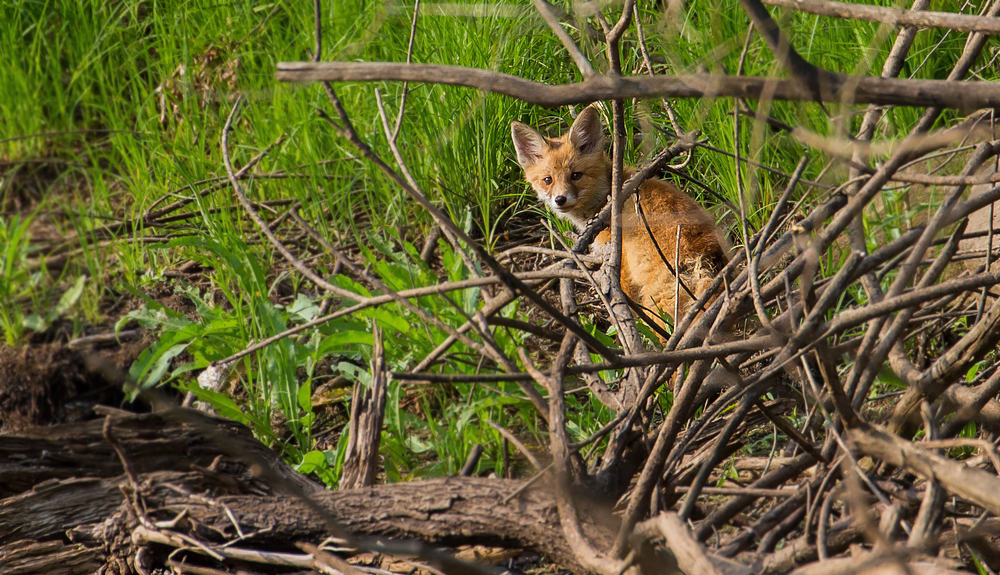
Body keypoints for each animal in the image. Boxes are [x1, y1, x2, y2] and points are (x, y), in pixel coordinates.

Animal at [512, 106, 732, 336]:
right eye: (548, 180)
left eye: (576, 175)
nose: (560, 200)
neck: (605, 199)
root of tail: (706, 257)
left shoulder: (619, 264)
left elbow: (627, 311)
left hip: (657, 303)